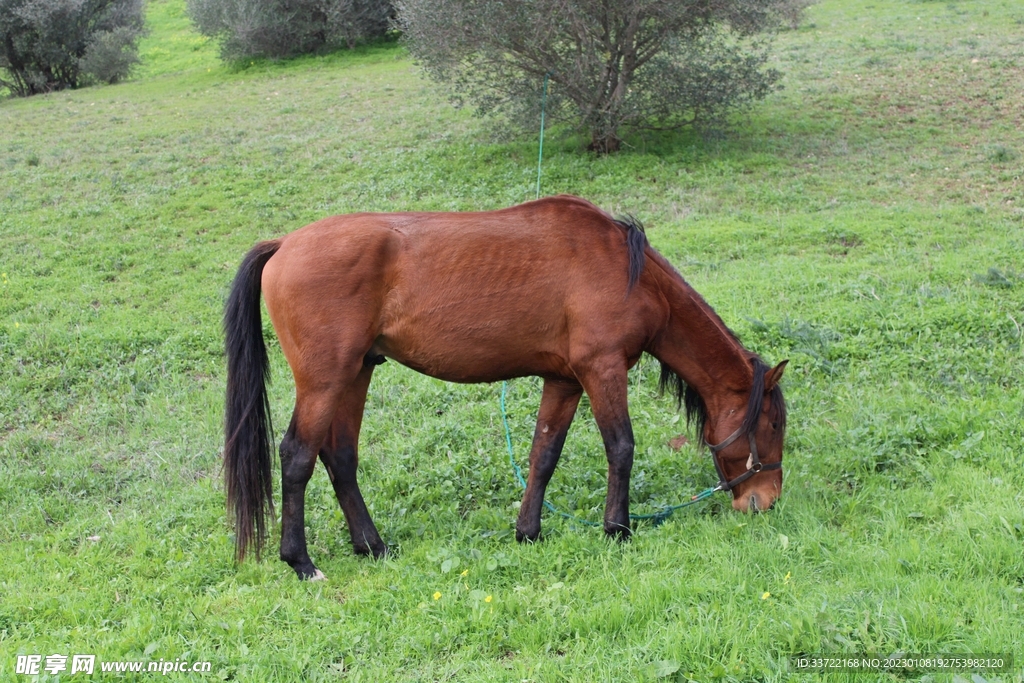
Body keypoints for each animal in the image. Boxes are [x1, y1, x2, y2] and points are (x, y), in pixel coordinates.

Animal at [224, 195, 787, 580]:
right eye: (773, 424)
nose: (767, 501)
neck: (628, 271)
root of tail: (284, 244)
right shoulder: (602, 370)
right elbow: (621, 447)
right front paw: (618, 529)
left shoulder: (564, 380)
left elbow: (544, 454)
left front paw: (528, 532)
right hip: (325, 380)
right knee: (297, 456)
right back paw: (301, 562)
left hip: (357, 373)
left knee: (340, 456)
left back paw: (373, 546)